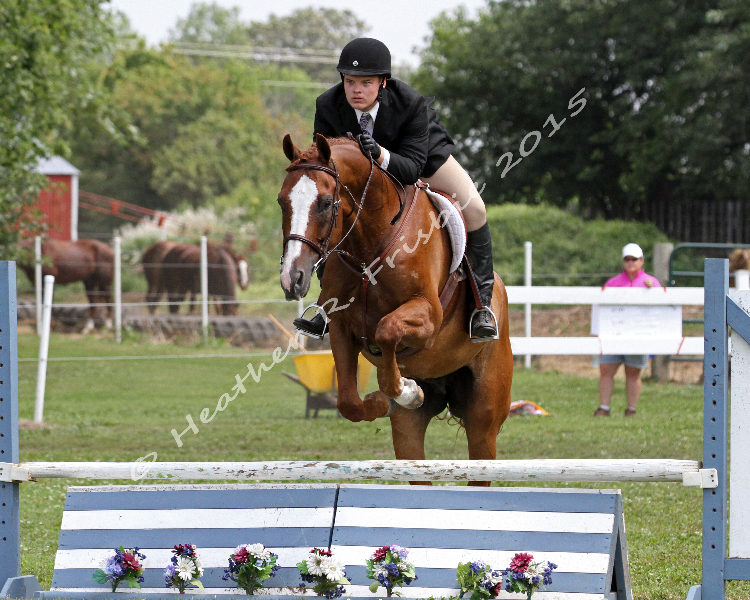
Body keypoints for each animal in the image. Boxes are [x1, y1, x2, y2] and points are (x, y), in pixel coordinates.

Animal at [278, 134, 513, 485]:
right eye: (282, 201)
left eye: (325, 202)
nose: (292, 278)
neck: (370, 245)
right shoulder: (341, 327)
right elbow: (349, 402)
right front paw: (385, 399)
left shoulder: (428, 319)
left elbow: (387, 330)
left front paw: (405, 390)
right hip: (409, 431)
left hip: (484, 416)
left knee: (481, 457)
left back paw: (481, 322)